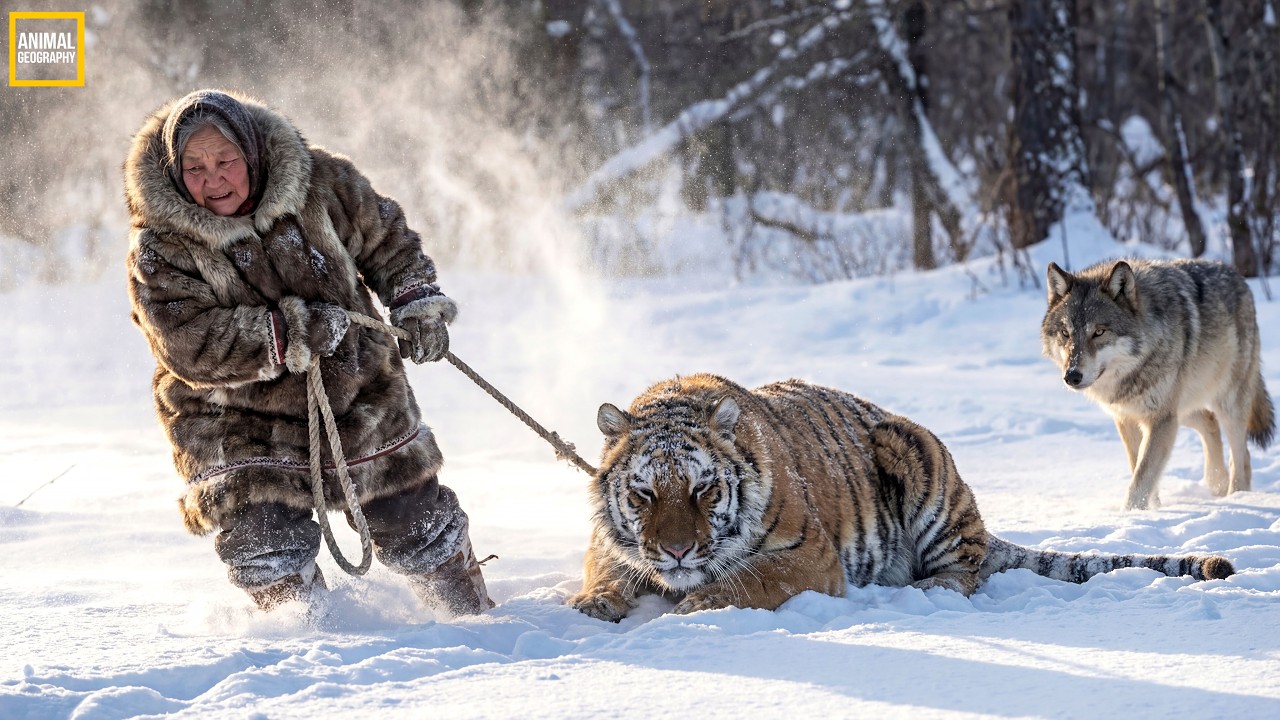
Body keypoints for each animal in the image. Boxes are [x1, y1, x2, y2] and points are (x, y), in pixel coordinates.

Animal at [567, 374, 1235, 621]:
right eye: (643, 493)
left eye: (703, 489)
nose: (677, 552)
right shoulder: (611, 541)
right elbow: (609, 568)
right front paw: (592, 603)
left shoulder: (809, 556)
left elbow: (745, 580)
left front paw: (695, 604)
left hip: (916, 456)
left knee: (965, 571)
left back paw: (923, 589)